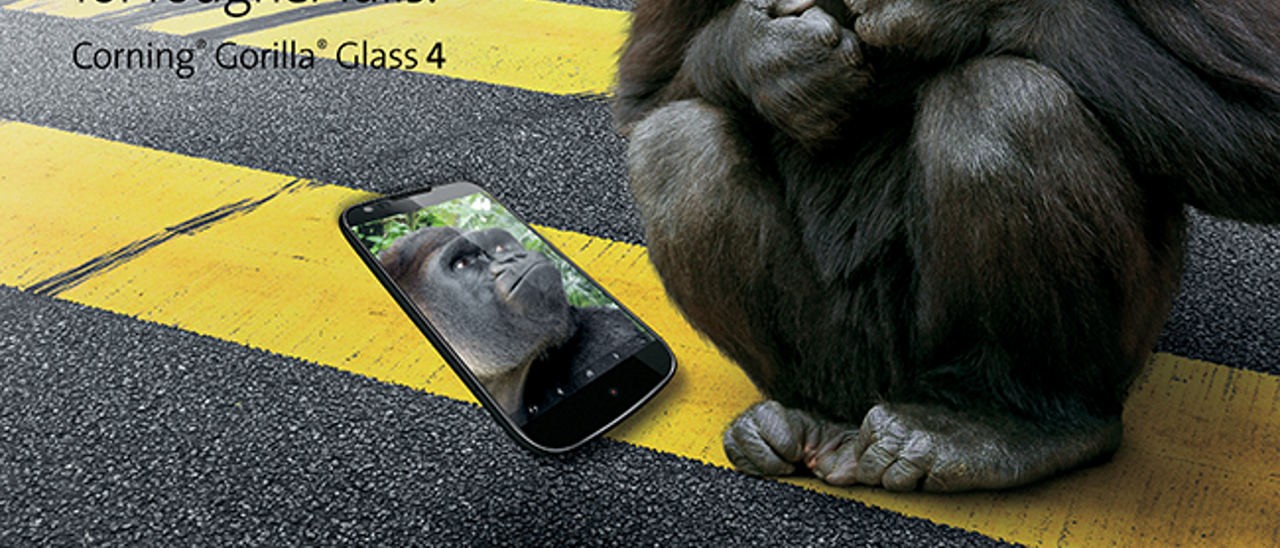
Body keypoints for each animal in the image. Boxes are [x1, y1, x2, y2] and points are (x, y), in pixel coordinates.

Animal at [615, 0, 1280, 491]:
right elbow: (645, 93)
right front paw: (763, 53)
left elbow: (1262, 112)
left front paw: (950, 10)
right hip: (849, 360)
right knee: (677, 142)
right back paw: (819, 414)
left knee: (1003, 104)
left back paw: (1019, 422)